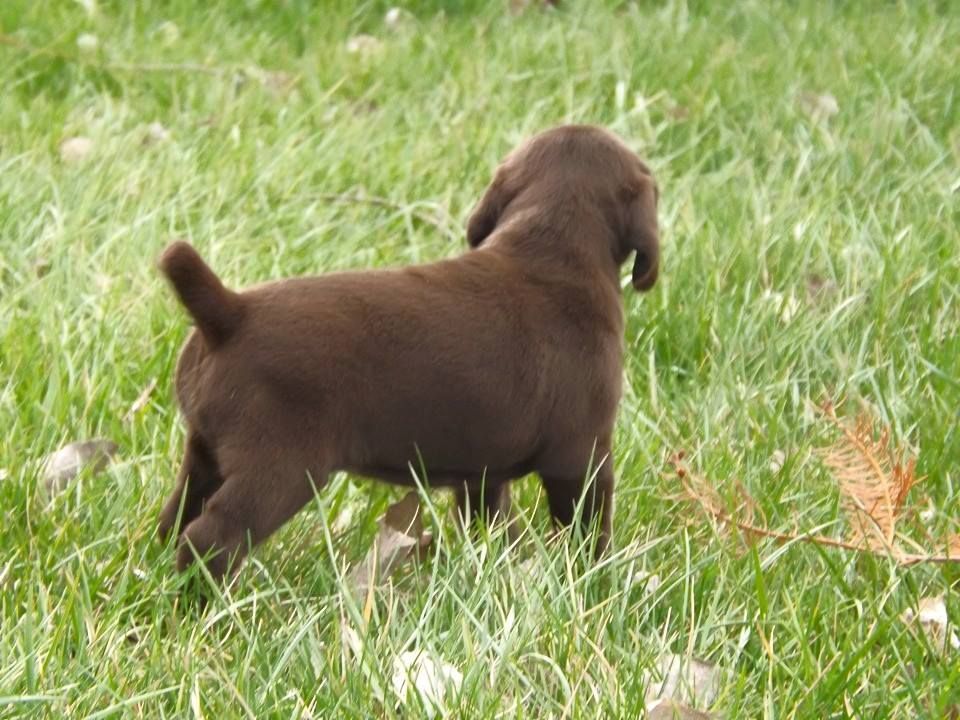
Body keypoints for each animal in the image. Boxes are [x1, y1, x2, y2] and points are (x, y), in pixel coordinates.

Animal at [158, 124, 659, 580]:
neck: (550, 246)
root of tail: (231, 312)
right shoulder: (581, 454)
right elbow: (586, 529)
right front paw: (594, 576)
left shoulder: (484, 470)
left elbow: (492, 522)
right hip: (281, 466)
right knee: (211, 536)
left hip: (204, 452)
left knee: (177, 517)